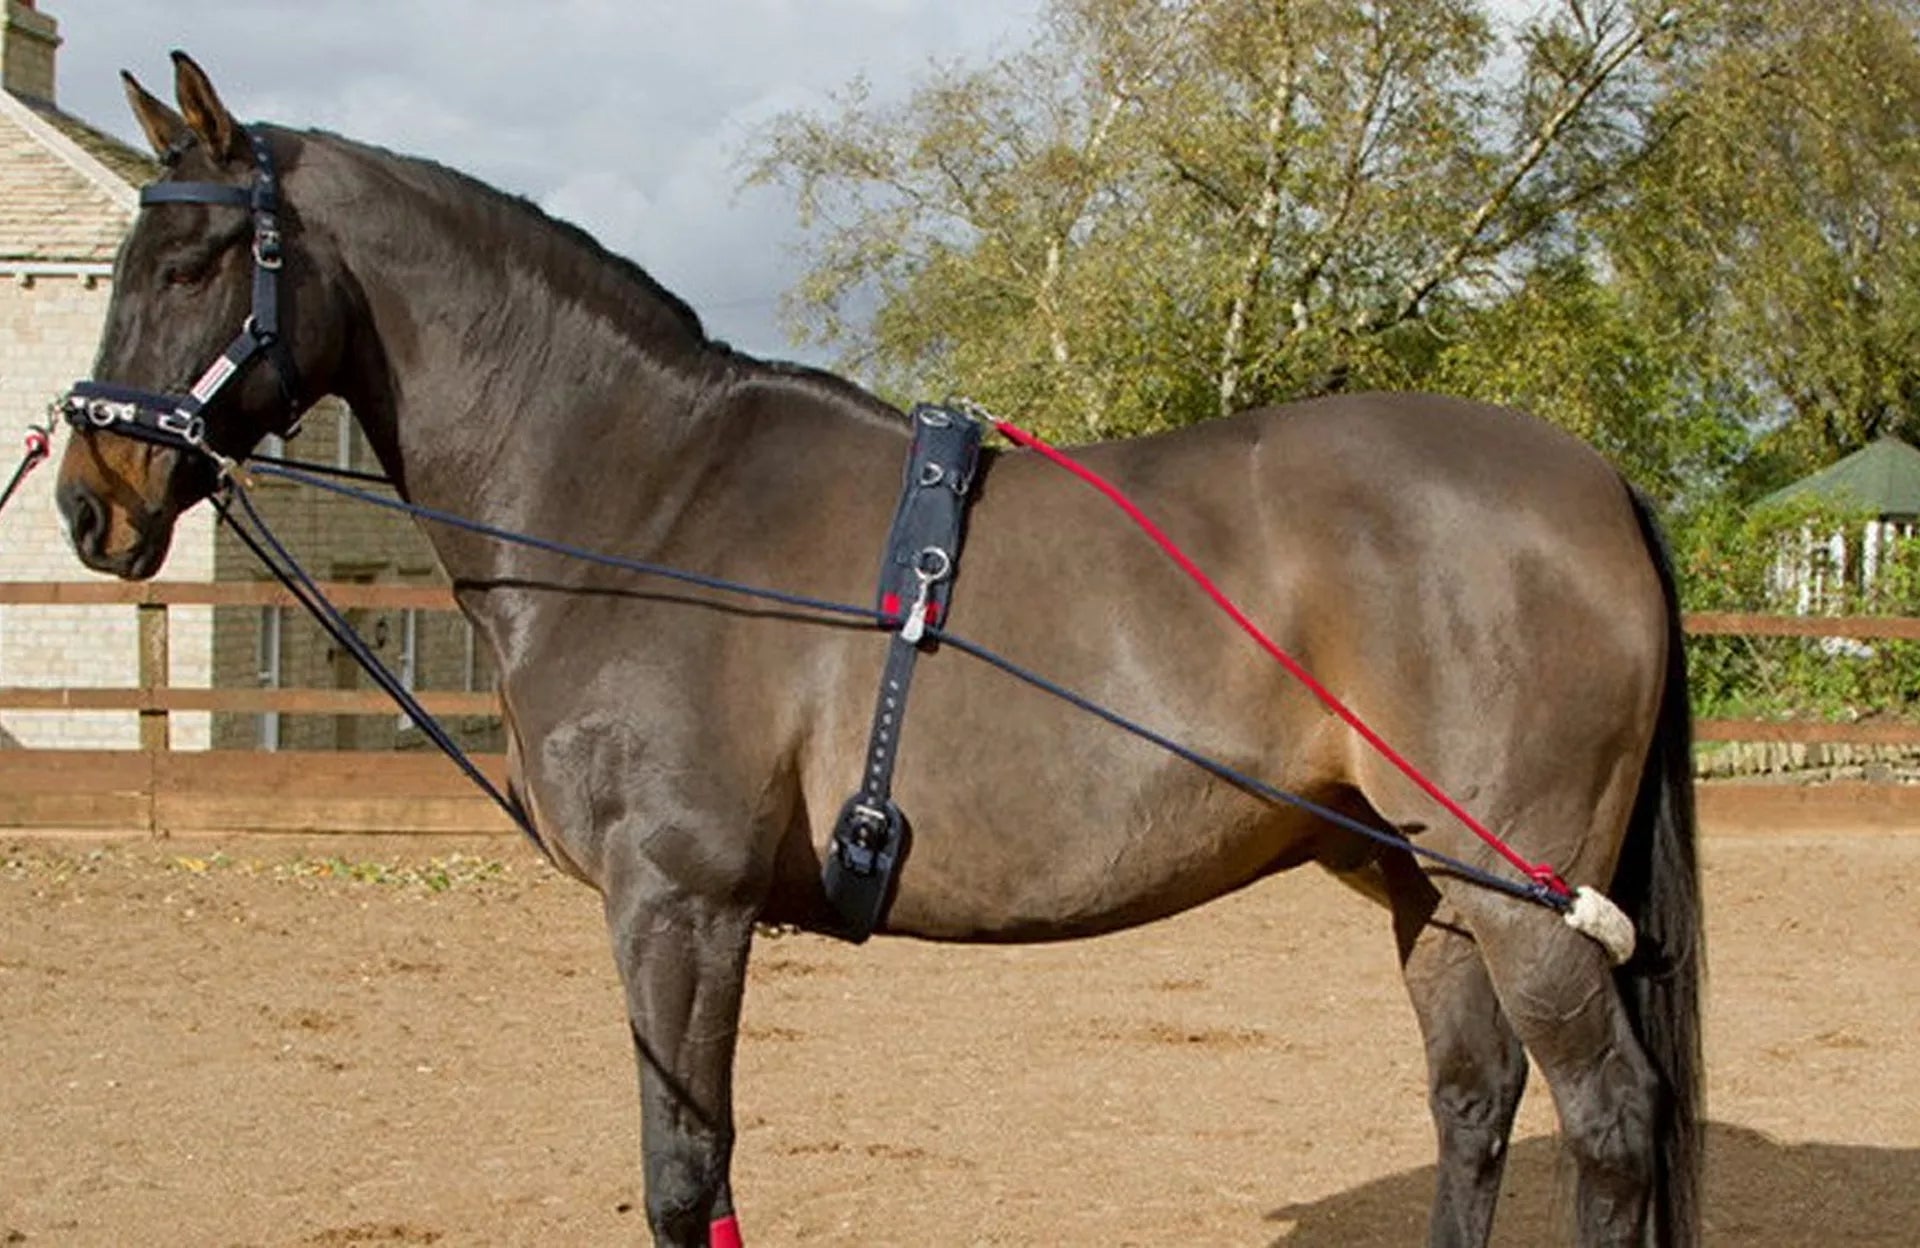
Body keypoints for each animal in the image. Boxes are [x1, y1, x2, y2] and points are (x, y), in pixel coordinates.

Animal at [55, 53, 1701, 1248]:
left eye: (198, 258)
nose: (90, 497)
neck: (646, 495)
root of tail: (1597, 482)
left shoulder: (680, 903)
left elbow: (683, 1177)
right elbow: (705, 1173)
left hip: (1526, 900)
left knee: (1613, 1125)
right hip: (1434, 890)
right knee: (1475, 1108)